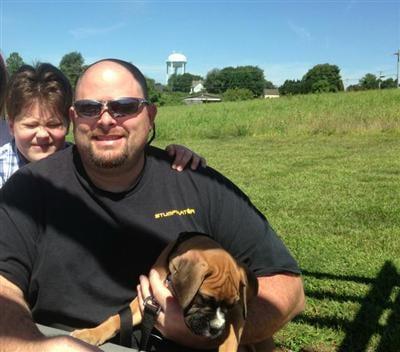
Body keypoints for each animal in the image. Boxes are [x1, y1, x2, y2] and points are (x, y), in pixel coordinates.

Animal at [72, 232, 260, 350]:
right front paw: (91, 333)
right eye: (203, 299)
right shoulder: (147, 301)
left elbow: (230, 340)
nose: (215, 329)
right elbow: (116, 319)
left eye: (231, 306)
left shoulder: (237, 314)